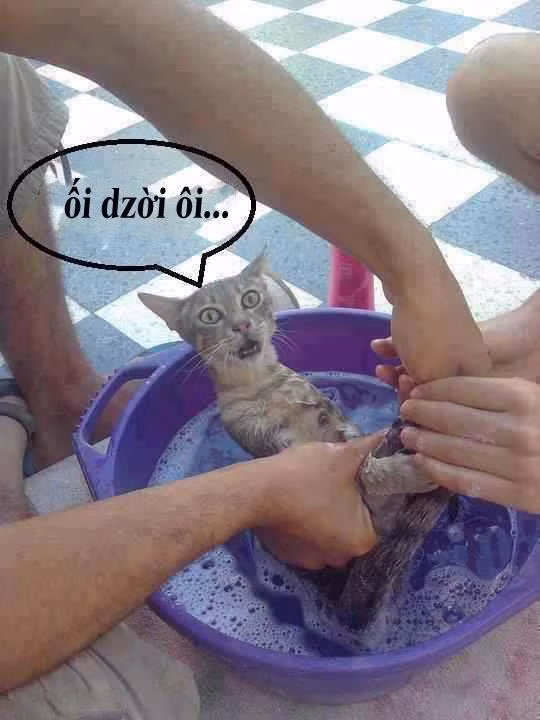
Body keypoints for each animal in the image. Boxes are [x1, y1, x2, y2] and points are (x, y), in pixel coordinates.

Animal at [139, 254, 453, 630]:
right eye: (210, 315)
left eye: (250, 298)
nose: (242, 325)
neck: (264, 388)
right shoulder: (273, 443)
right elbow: (362, 472)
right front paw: (403, 471)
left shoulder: (333, 418)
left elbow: (360, 452)